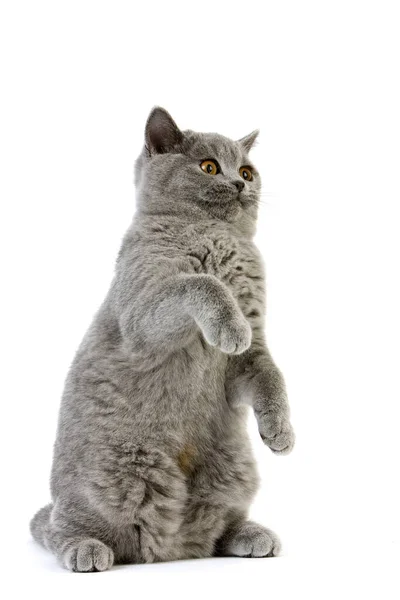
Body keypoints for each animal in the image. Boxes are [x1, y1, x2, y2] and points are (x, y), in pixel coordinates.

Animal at [30, 108, 294, 572]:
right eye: (209, 167)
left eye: (247, 170)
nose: (240, 184)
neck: (216, 235)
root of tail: (168, 549)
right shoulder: (142, 316)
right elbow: (202, 282)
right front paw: (229, 327)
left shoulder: (252, 352)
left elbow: (270, 375)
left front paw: (280, 430)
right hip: (105, 481)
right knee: (58, 527)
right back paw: (86, 549)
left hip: (235, 469)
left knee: (217, 531)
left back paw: (251, 535)